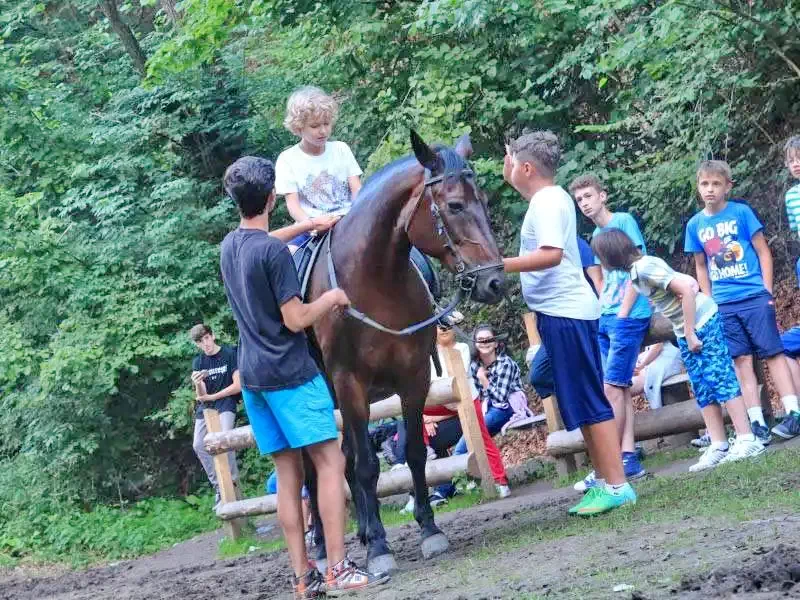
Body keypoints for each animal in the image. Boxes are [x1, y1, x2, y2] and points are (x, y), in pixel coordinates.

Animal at [304, 130, 504, 572]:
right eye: (454, 205)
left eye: (483, 200)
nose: (495, 282)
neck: (375, 280)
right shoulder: (351, 384)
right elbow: (366, 466)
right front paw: (380, 548)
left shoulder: (414, 379)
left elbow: (414, 453)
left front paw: (429, 530)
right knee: (315, 471)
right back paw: (325, 550)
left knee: (342, 459)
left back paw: (360, 532)